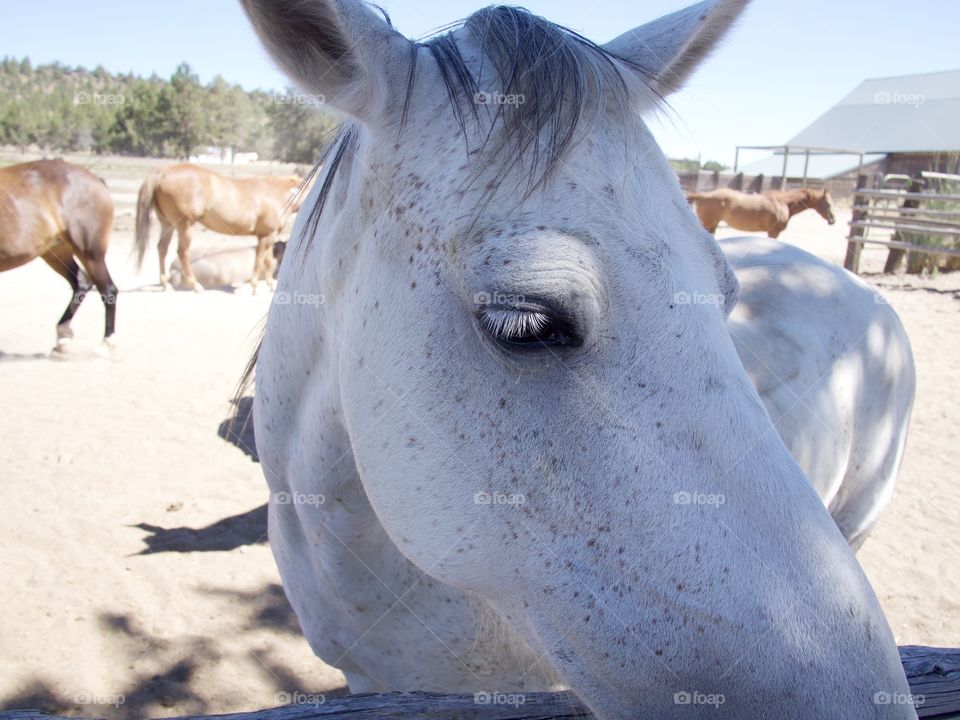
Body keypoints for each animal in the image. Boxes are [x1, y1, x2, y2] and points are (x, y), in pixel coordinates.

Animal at [0, 159, 118, 353]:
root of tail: (96, 180)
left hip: (90, 253)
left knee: (108, 289)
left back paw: (106, 344)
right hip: (56, 253)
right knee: (81, 282)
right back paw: (63, 336)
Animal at [134, 163, 303, 292]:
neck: (278, 192)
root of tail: (162, 172)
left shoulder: (266, 235)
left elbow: (266, 259)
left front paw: (269, 284)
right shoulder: (268, 234)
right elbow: (261, 258)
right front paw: (255, 286)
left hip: (167, 222)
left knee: (162, 248)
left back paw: (165, 284)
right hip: (184, 224)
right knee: (182, 251)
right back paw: (195, 285)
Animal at [687, 187, 836, 237]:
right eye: (828, 204)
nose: (833, 220)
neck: (784, 203)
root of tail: (704, 195)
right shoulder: (774, 232)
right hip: (709, 224)